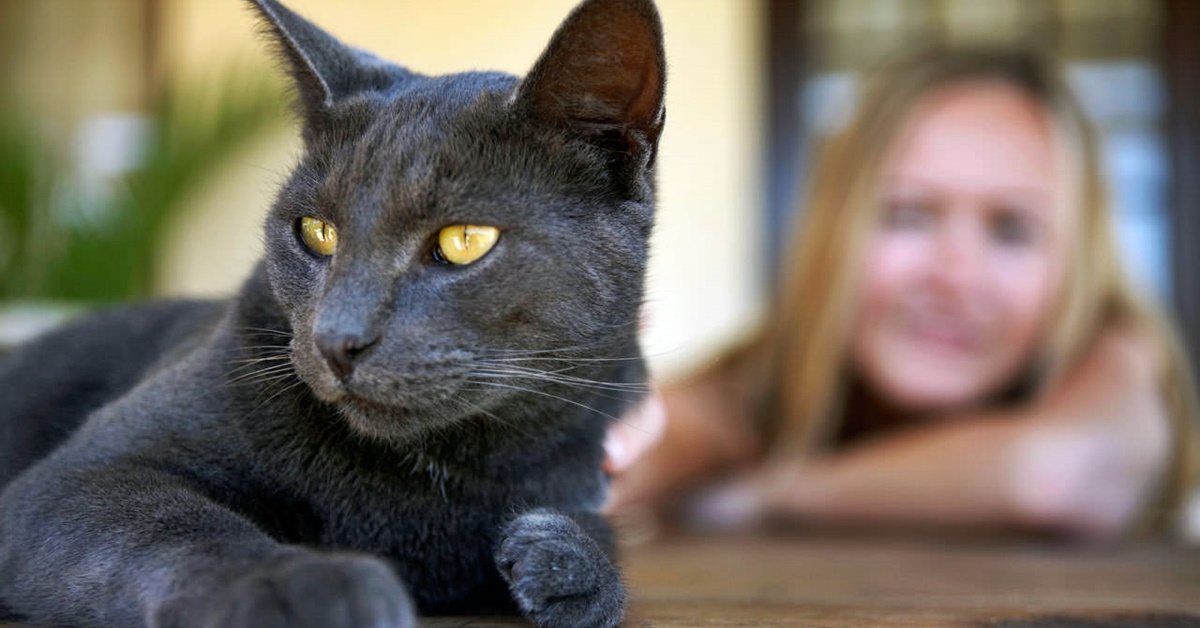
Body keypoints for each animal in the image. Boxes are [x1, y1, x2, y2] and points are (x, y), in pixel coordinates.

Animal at [0, 0, 667, 624]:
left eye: (464, 241)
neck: (431, 469)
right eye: (316, 232)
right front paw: (302, 587)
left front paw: (569, 561)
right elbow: (177, 528)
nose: (337, 340)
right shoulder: (81, 475)